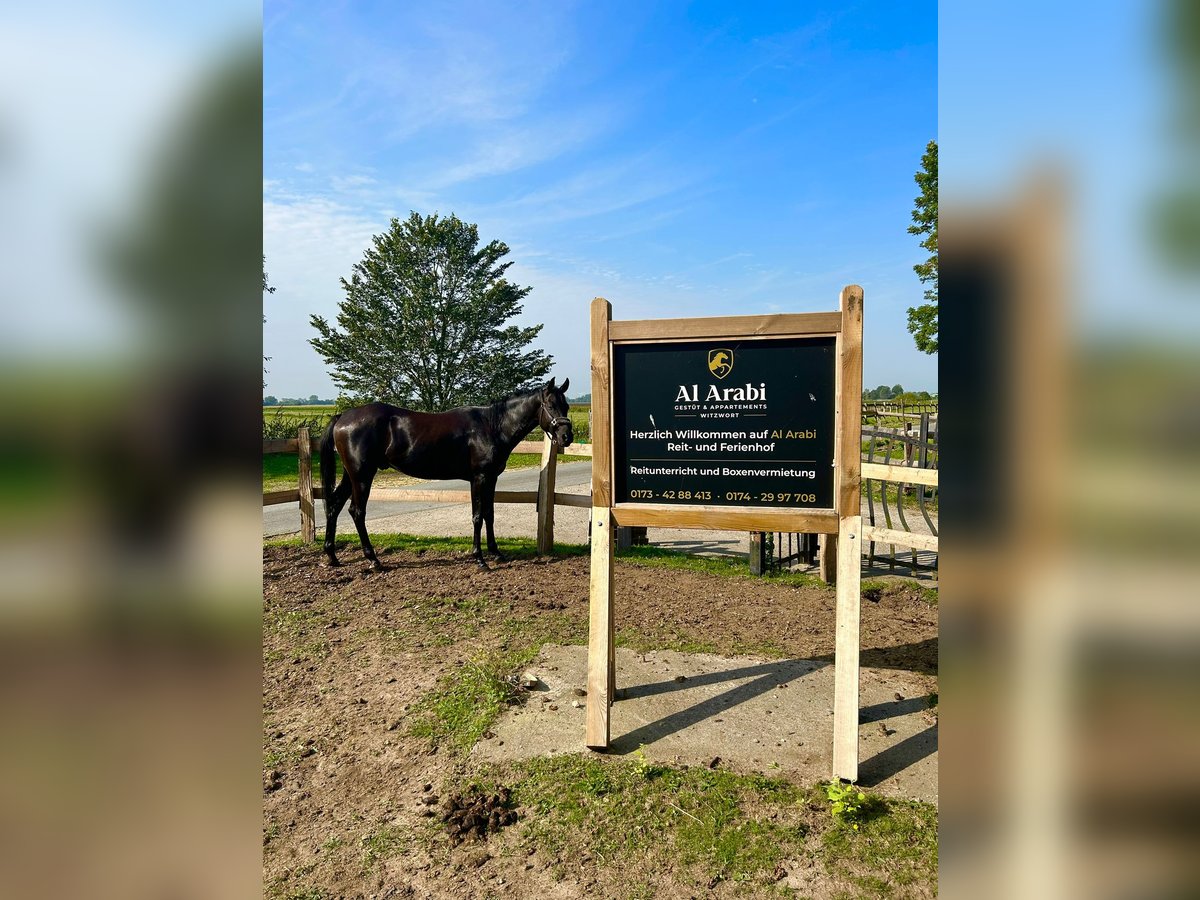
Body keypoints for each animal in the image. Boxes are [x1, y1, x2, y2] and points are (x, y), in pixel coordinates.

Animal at [319, 381, 571, 571]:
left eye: (567, 406)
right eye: (550, 405)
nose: (566, 437)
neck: (491, 426)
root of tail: (343, 417)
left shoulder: (491, 479)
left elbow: (489, 514)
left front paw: (496, 553)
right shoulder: (479, 478)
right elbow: (477, 516)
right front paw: (480, 559)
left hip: (350, 476)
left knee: (334, 506)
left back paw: (332, 556)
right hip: (362, 476)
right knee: (356, 512)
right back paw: (373, 559)